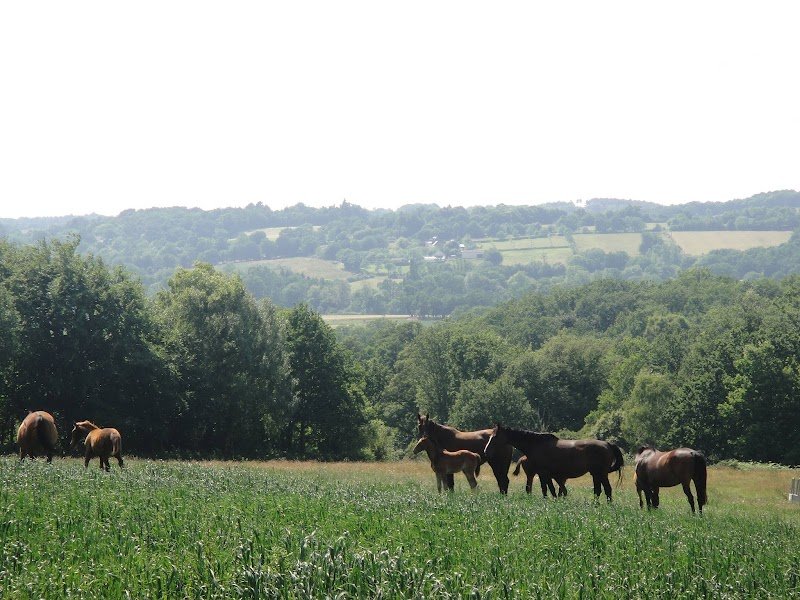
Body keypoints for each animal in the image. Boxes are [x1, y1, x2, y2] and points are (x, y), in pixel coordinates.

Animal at [484, 424, 624, 501]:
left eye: (495, 437)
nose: (486, 451)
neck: (536, 444)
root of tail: (607, 444)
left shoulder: (543, 473)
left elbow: (547, 489)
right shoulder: (546, 474)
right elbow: (550, 489)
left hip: (601, 473)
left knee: (607, 490)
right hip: (595, 474)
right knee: (598, 491)